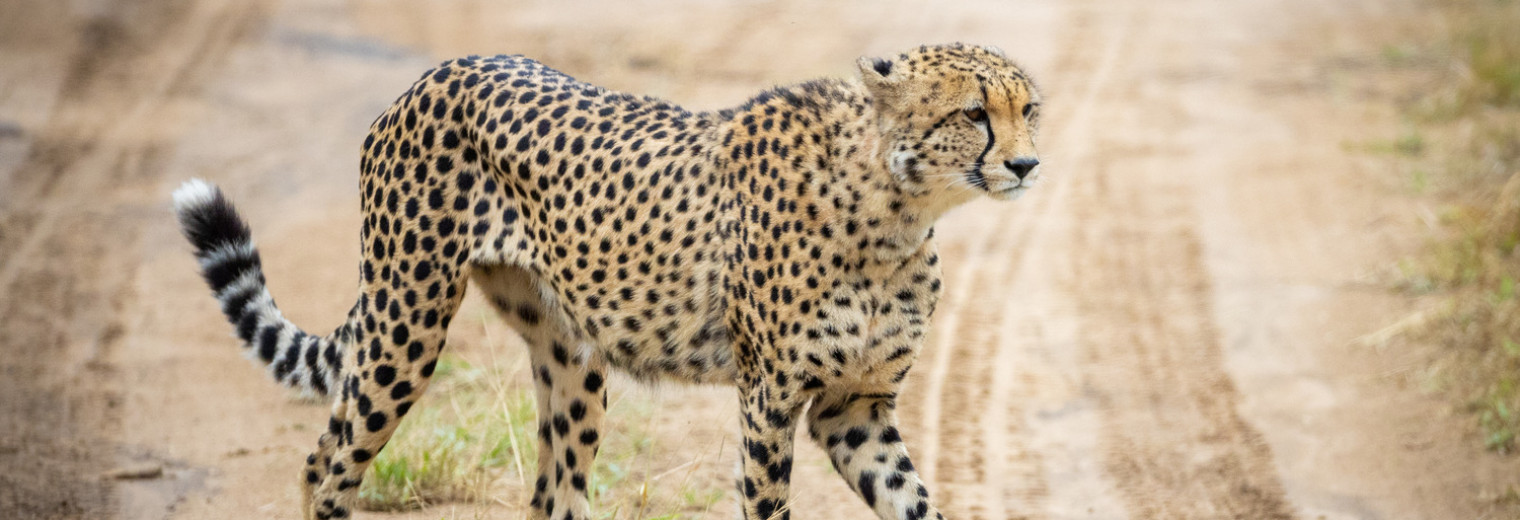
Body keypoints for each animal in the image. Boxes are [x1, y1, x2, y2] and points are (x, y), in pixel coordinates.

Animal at [172, 43, 1039, 520]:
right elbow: (769, 505)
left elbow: (916, 502)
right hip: (404, 323)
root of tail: (436, 73)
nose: (1029, 164)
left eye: (1028, 108)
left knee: (549, 495)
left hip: (570, 359)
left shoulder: (853, 407)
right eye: (973, 113)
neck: (895, 207)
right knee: (326, 464)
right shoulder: (769, 399)